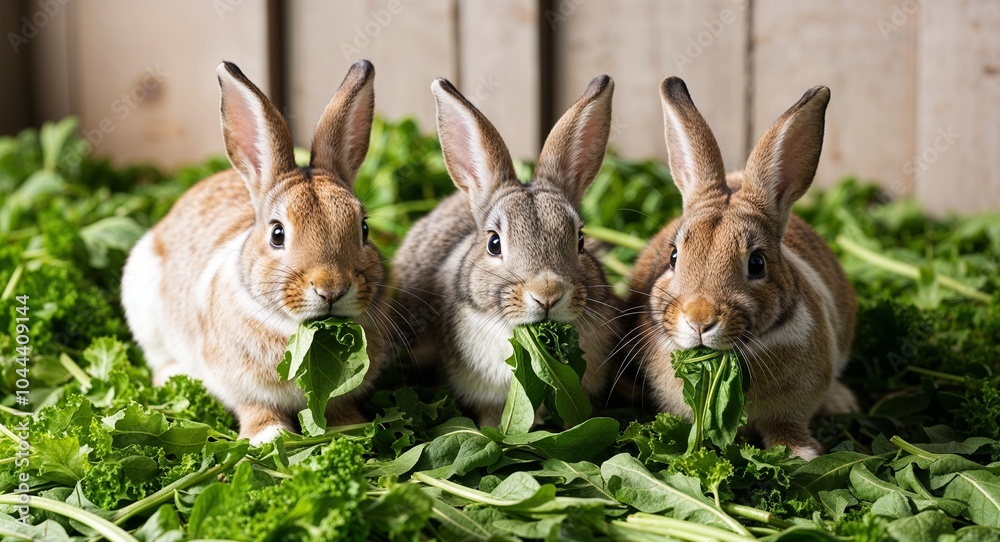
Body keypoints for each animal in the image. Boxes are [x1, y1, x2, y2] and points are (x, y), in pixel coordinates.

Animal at [120, 60, 391, 445]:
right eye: (277, 234)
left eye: (364, 229)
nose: (331, 289)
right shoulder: (238, 385)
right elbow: (254, 407)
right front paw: (270, 436)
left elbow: (339, 406)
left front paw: (350, 427)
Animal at [624, 77, 857, 460]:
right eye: (673, 257)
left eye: (757, 263)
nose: (699, 319)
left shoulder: (793, 407)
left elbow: (787, 427)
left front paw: (801, 453)